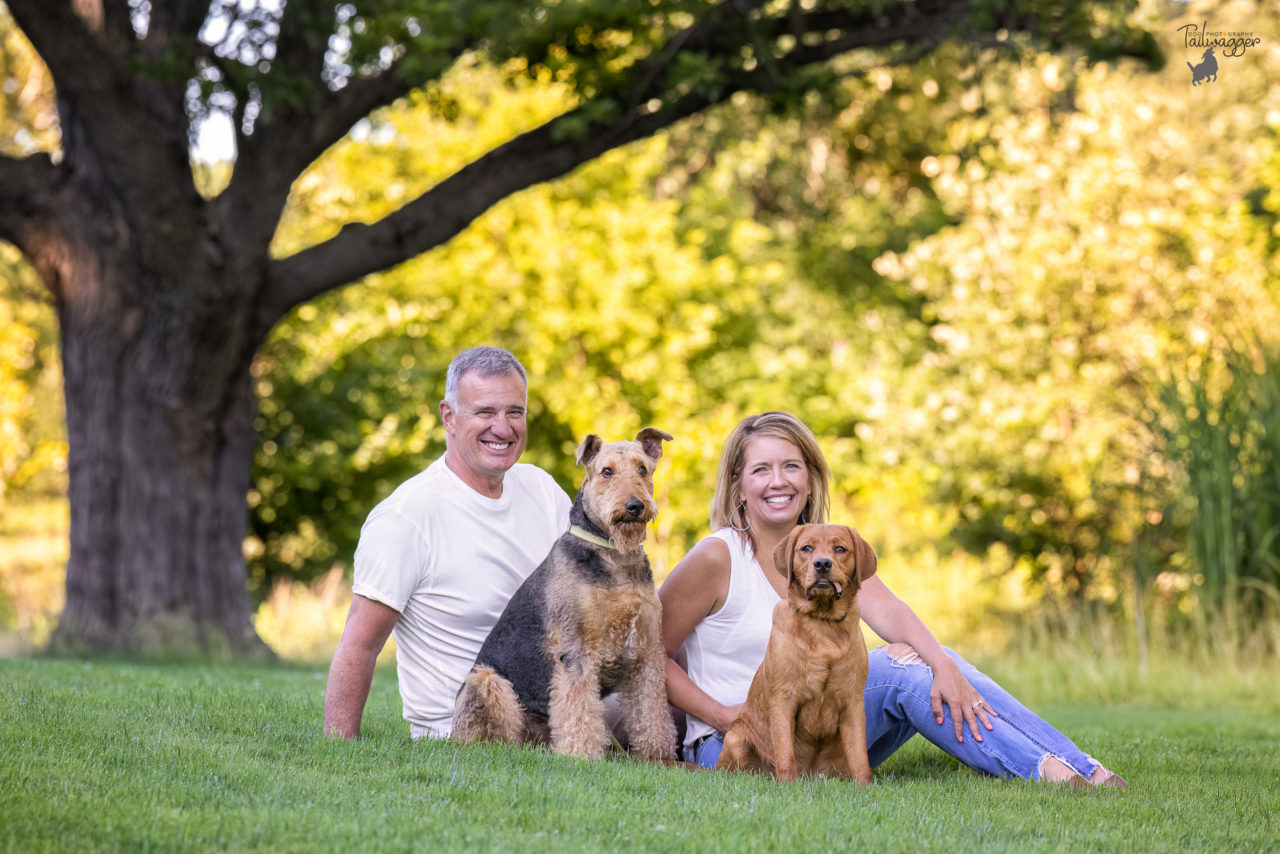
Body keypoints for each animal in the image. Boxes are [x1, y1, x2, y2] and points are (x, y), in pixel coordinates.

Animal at [453, 427, 680, 763]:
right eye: (607, 471)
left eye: (643, 469)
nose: (635, 506)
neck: (614, 555)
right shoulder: (577, 651)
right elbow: (579, 709)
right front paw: (580, 754)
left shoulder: (646, 652)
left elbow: (650, 710)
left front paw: (657, 755)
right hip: (488, 681)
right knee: (495, 739)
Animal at [716, 524, 875, 783]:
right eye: (806, 548)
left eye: (840, 549)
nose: (822, 564)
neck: (822, 622)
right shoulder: (783, 699)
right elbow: (784, 751)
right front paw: (787, 784)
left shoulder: (852, 701)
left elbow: (860, 757)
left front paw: (864, 786)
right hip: (736, 738)